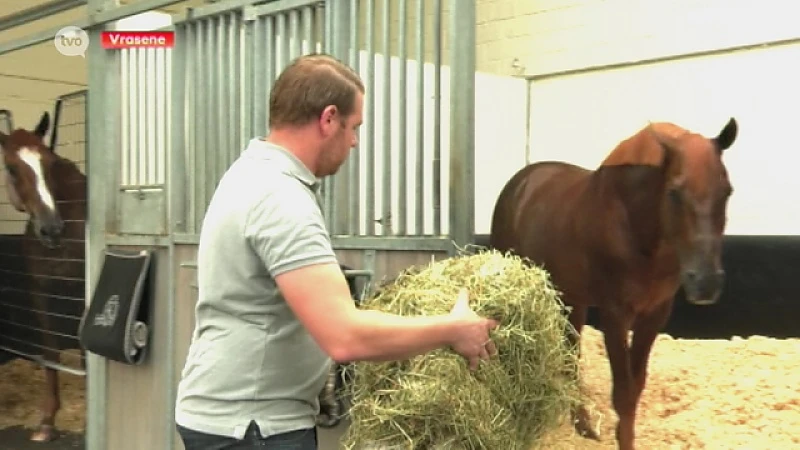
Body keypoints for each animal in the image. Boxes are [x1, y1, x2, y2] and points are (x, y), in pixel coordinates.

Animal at [0, 110, 87, 442]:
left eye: (49, 163)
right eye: (11, 168)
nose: (51, 229)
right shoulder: (41, 291)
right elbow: (50, 351)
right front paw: (47, 421)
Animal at [490, 118, 740, 450]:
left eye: (727, 192)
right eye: (674, 192)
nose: (706, 283)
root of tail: (521, 182)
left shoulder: (654, 314)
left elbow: (635, 388)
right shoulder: (615, 314)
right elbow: (622, 393)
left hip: (573, 299)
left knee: (571, 356)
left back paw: (583, 424)